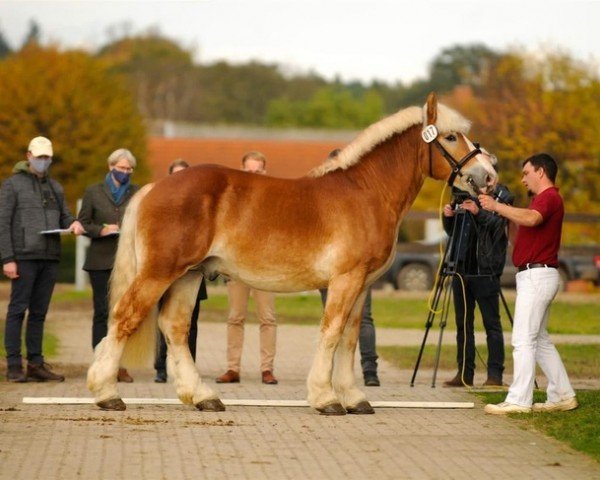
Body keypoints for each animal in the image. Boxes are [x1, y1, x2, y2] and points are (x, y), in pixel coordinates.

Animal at [85, 93, 496, 412]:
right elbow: (331, 333)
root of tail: (153, 188)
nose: (489, 175)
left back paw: (202, 396)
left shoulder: (362, 285)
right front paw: (326, 398)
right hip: (160, 272)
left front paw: (353, 397)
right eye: (451, 136)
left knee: (174, 327)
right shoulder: (345, 280)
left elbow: (349, 337)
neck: (366, 191)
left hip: (189, 275)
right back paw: (107, 394)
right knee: (125, 317)